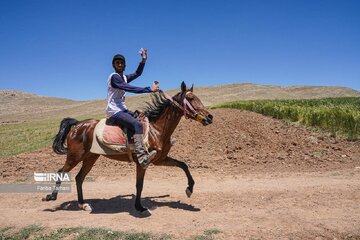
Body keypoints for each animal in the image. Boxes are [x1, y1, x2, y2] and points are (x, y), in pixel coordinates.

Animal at [44, 81, 215, 215]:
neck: (156, 130)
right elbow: (139, 184)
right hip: (75, 156)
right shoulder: (142, 162)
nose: (210, 117)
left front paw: (189, 189)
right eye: (191, 98)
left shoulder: (160, 159)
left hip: (91, 157)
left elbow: (183, 165)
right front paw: (139, 207)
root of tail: (77, 125)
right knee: (61, 172)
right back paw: (51, 197)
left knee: (79, 177)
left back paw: (83, 204)